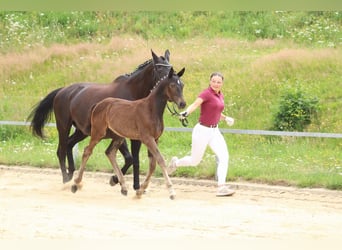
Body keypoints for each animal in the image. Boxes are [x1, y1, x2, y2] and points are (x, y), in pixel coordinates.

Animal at [27, 49, 172, 188]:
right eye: (159, 68)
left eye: (171, 69)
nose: (168, 82)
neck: (131, 93)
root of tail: (62, 91)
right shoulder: (120, 134)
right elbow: (129, 158)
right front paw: (115, 179)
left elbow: (132, 159)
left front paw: (121, 181)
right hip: (63, 127)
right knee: (61, 150)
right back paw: (66, 180)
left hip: (82, 131)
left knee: (69, 144)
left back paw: (71, 174)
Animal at [70, 66, 186, 199]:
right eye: (172, 85)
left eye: (182, 84)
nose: (182, 104)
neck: (151, 109)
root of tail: (98, 105)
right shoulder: (147, 138)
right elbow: (160, 160)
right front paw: (171, 192)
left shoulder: (155, 139)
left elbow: (152, 165)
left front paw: (140, 191)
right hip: (98, 133)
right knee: (87, 151)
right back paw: (75, 184)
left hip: (117, 136)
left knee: (110, 152)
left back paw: (123, 187)